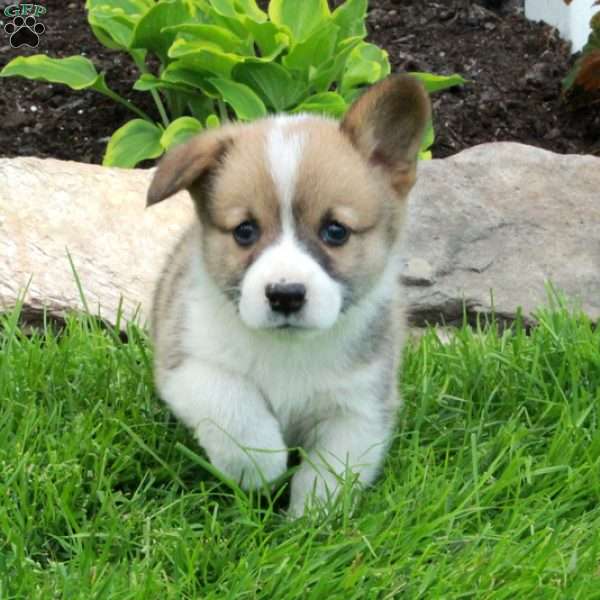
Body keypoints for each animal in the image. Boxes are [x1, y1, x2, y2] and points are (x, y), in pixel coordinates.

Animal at [150, 75, 432, 516]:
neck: (289, 350)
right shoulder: (189, 366)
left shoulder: (360, 408)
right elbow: (233, 404)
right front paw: (259, 465)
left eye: (336, 231)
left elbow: (331, 471)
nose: (285, 295)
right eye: (245, 231)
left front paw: (310, 518)